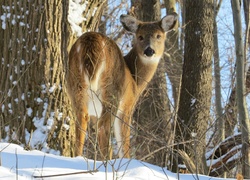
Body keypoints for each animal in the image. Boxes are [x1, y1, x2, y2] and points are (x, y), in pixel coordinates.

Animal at [65, 12, 177, 159]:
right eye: (140, 36)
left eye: (158, 36)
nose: (149, 51)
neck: (135, 80)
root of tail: (90, 42)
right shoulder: (127, 106)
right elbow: (124, 143)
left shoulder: (95, 112)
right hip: (112, 91)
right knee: (104, 127)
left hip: (76, 87)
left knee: (80, 123)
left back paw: (78, 158)